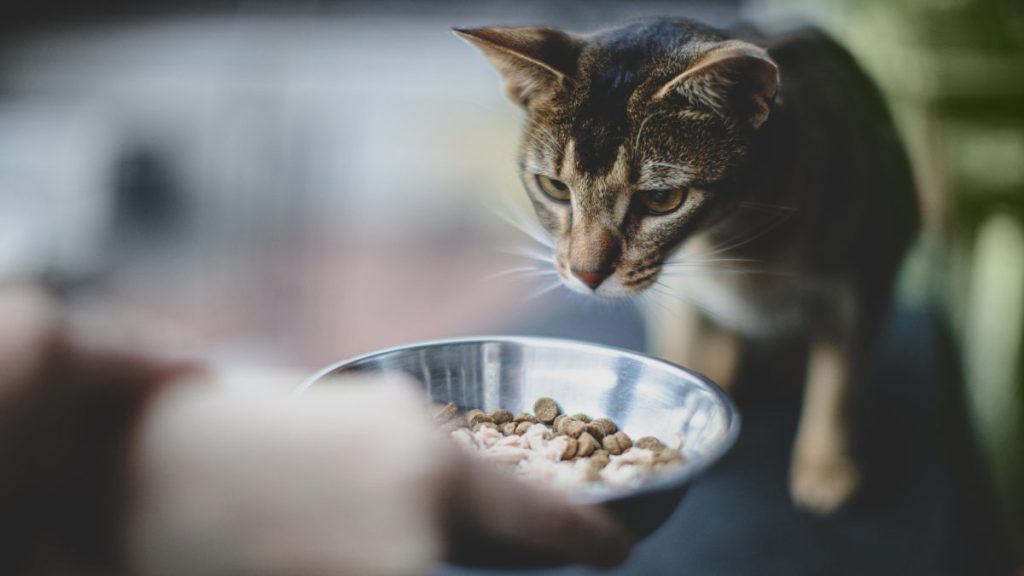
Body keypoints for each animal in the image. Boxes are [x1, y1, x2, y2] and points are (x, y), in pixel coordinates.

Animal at [460, 19, 917, 510]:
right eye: (555, 188)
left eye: (661, 198)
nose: (586, 275)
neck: (736, 246)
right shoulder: (683, 299)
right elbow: (680, 347)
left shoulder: (865, 279)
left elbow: (838, 385)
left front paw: (823, 466)